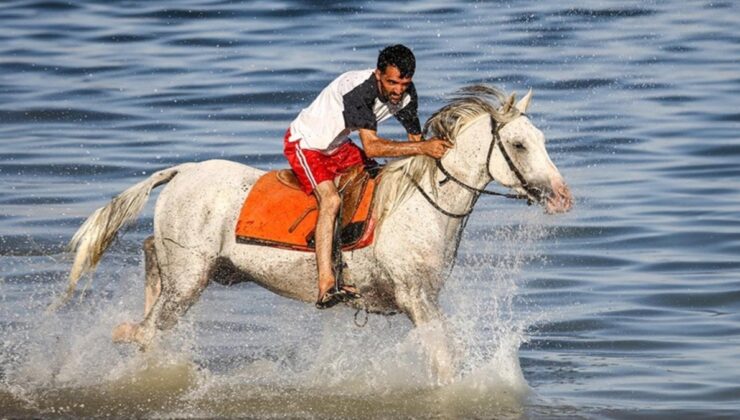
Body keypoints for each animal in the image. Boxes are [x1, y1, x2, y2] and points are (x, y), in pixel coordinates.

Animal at [60, 84, 576, 380]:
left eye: (542, 140)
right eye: (518, 144)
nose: (561, 197)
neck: (422, 206)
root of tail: (183, 171)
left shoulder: (423, 300)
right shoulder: (417, 299)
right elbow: (445, 360)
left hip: (204, 271)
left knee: (151, 263)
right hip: (190, 278)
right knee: (149, 326)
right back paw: (127, 332)